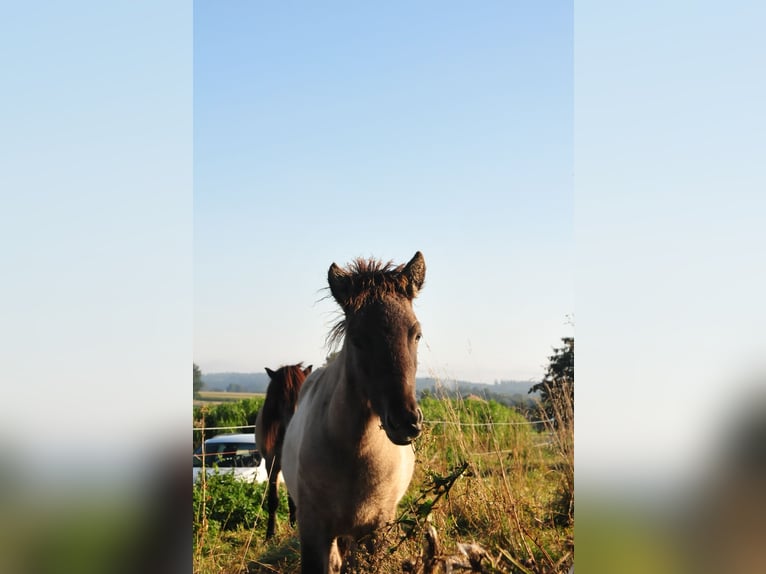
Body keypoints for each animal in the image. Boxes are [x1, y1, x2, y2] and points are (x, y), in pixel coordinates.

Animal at [282, 253, 426, 574]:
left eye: (416, 334)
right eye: (358, 338)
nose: (405, 422)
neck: (354, 454)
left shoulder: (377, 532)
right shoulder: (313, 532)